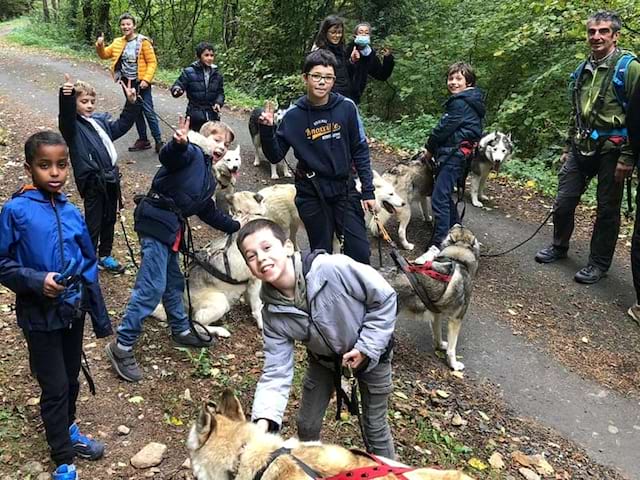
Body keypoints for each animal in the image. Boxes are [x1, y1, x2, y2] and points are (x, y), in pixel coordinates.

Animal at [388, 225, 478, 372]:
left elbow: (437, 335)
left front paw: (440, 346)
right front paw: (453, 365)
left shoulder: (436, 313)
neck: (457, 259)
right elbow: (452, 349)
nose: (459, 224)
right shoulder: (456, 319)